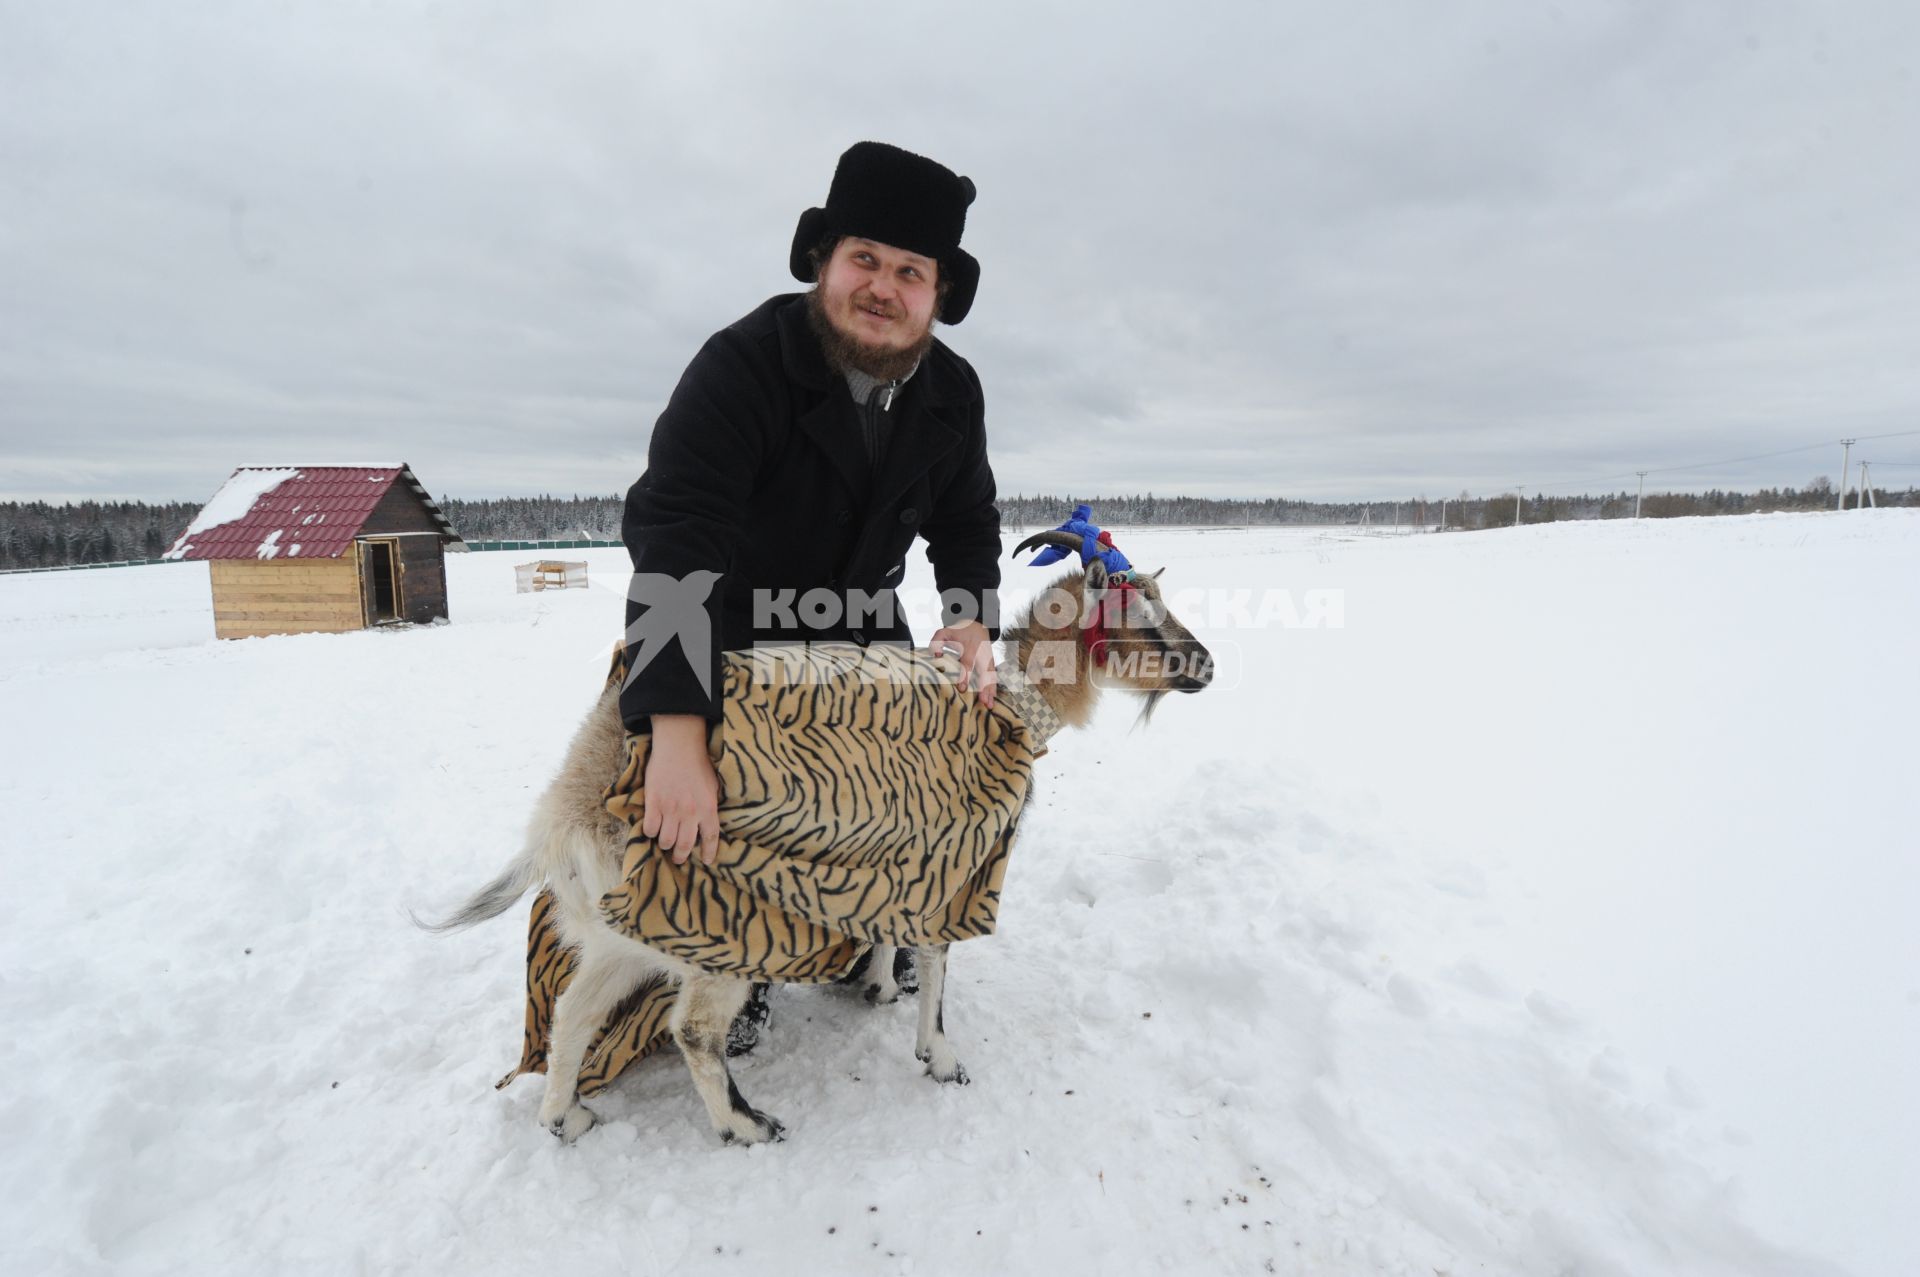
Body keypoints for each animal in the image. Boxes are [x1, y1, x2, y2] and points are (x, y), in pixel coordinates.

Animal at [416, 537, 1213, 1144]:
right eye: (1142, 618)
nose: (1207, 664)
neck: (1012, 704)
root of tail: (574, 793)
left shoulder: (903, 864)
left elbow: (893, 932)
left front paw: (878, 987)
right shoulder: (957, 863)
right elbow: (938, 960)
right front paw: (941, 1057)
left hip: (618, 928)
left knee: (574, 1010)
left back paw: (568, 1116)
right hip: (709, 928)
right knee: (691, 1030)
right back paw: (746, 1125)